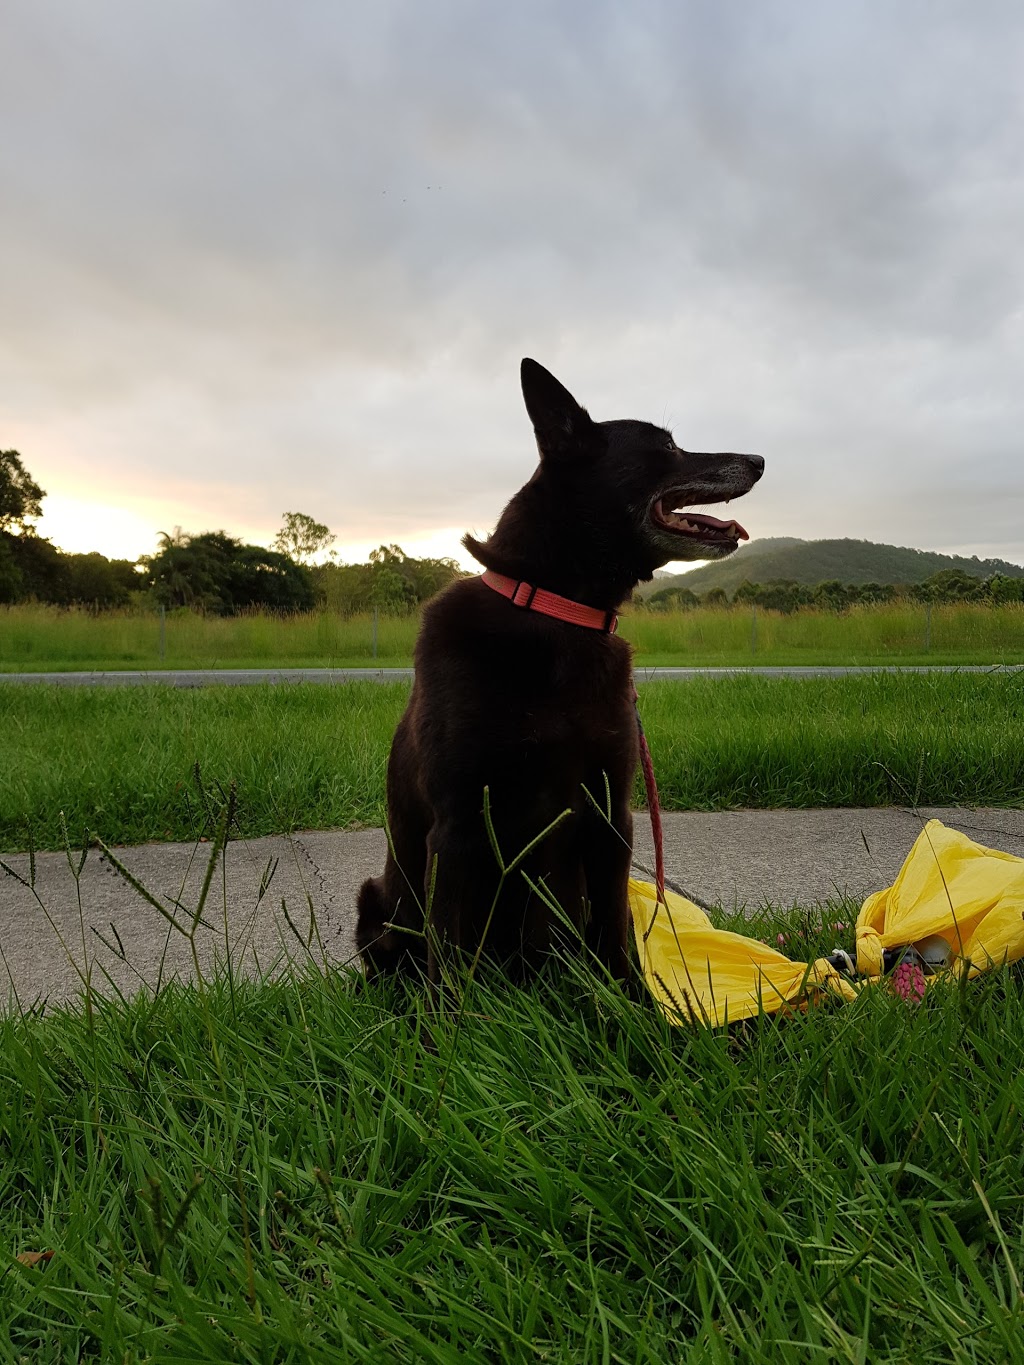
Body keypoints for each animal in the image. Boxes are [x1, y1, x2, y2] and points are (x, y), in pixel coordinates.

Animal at [357, 360, 764, 982]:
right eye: (668, 446)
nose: (761, 460)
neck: (556, 610)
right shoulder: (458, 827)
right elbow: (448, 963)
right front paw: (447, 1014)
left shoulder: (611, 815)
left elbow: (616, 937)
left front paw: (632, 1006)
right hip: (378, 901)